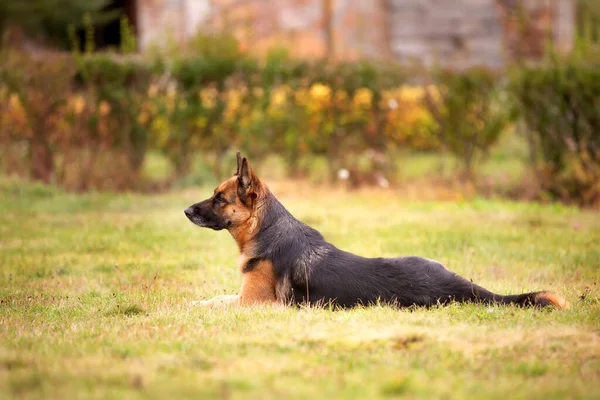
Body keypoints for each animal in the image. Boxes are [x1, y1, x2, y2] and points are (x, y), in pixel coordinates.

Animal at [185, 152, 568, 310]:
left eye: (219, 198)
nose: (186, 211)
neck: (267, 230)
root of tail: (459, 287)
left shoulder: (253, 303)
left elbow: (219, 303)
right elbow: (215, 297)